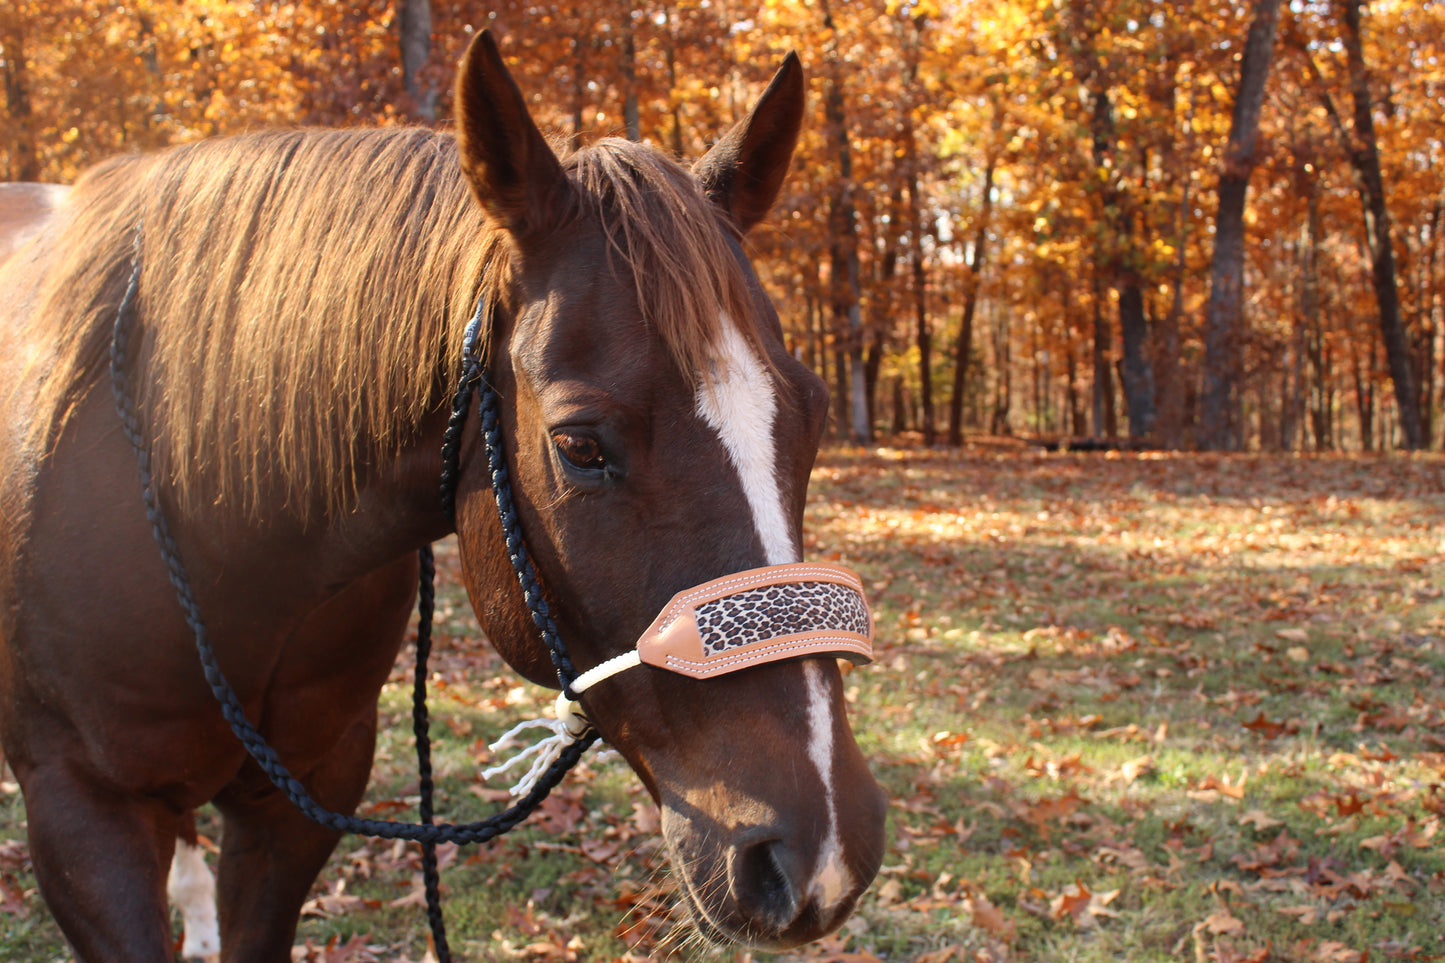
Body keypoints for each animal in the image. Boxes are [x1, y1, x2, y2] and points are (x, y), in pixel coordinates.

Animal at [0, 30, 878, 960]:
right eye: (579, 445)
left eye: (813, 410)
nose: (819, 850)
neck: (211, 528)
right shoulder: (83, 815)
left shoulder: (303, 796)